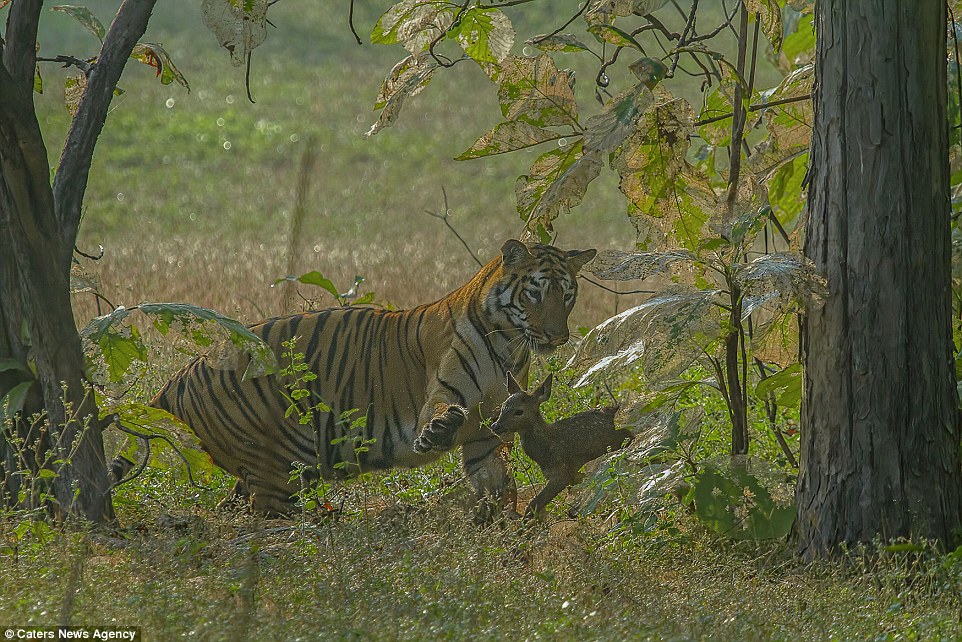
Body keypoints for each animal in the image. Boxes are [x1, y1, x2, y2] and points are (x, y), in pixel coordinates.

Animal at [147, 240, 592, 516]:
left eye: (568, 295)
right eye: (535, 293)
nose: (558, 336)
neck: (509, 346)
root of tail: (179, 376)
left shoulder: (488, 435)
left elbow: (498, 484)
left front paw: (498, 525)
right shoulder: (443, 392)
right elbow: (442, 413)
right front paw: (438, 432)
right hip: (277, 465)